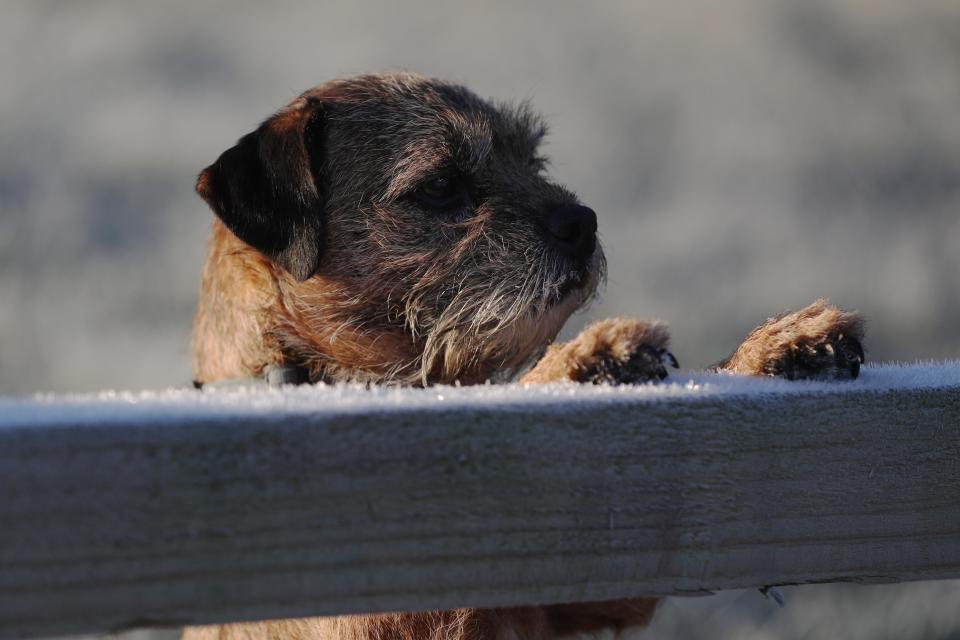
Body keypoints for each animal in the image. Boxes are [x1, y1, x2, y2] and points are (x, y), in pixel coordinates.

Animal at [186, 72, 864, 636]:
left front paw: (776, 348)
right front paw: (589, 356)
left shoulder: (571, 594)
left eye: (532, 158)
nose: (583, 221)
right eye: (440, 185)